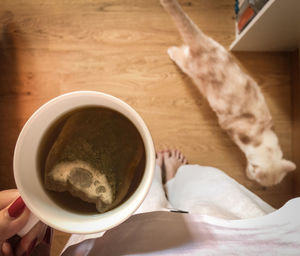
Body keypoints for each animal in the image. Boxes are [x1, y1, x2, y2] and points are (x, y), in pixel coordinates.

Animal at [161, 0, 296, 186]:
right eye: (260, 183)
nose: (263, 189)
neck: (261, 133)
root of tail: (205, 45)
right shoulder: (230, 129)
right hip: (188, 66)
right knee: (180, 55)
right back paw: (171, 52)